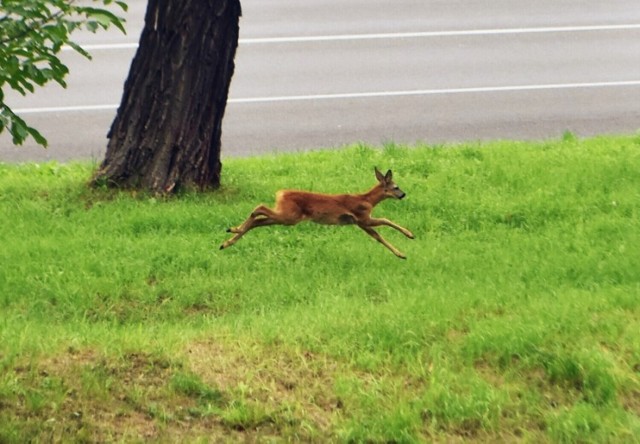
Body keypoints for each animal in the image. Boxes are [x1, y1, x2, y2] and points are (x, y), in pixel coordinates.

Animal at [220, 167, 416, 258]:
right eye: (396, 187)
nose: (403, 194)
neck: (366, 200)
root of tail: (280, 193)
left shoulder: (360, 223)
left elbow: (378, 237)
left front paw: (401, 254)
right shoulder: (362, 218)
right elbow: (385, 220)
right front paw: (409, 235)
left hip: (287, 217)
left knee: (258, 221)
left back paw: (227, 240)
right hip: (289, 215)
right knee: (259, 208)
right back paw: (234, 230)